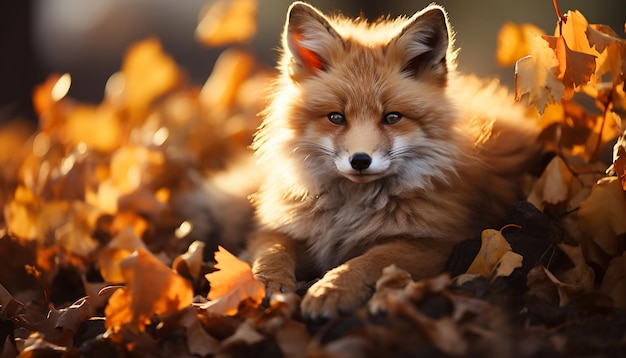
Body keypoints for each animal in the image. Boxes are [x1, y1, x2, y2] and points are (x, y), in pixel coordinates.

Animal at [246, 0, 540, 318]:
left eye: (392, 117)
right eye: (336, 117)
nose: (360, 161)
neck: (350, 210)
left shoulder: (440, 243)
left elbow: (369, 260)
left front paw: (332, 288)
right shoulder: (283, 228)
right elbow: (270, 253)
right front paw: (265, 285)